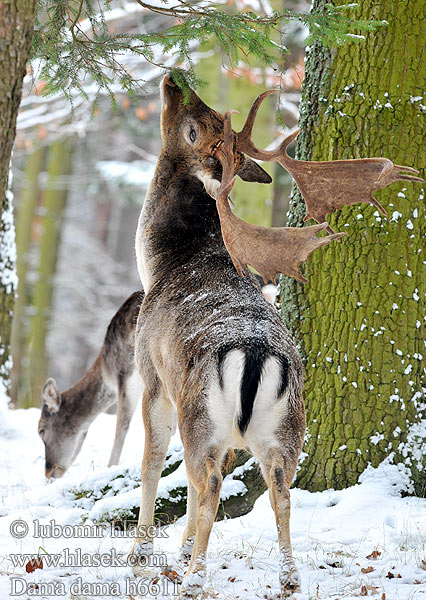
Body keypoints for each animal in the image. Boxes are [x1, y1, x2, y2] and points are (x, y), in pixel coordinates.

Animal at [37, 290, 143, 478]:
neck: (108, 373)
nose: (49, 472)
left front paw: (110, 467)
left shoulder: (127, 376)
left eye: (41, 430)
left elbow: (121, 428)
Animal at [131, 76, 422, 600]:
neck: (159, 262)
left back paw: (195, 578)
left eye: (193, 126)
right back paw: (287, 577)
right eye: (205, 113)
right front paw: (178, 553)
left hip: (201, 414)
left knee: (208, 485)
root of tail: (255, 353)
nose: (175, 77)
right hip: (285, 428)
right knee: (279, 491)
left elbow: (151, 465)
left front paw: (142, 554)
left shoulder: (153, 377)